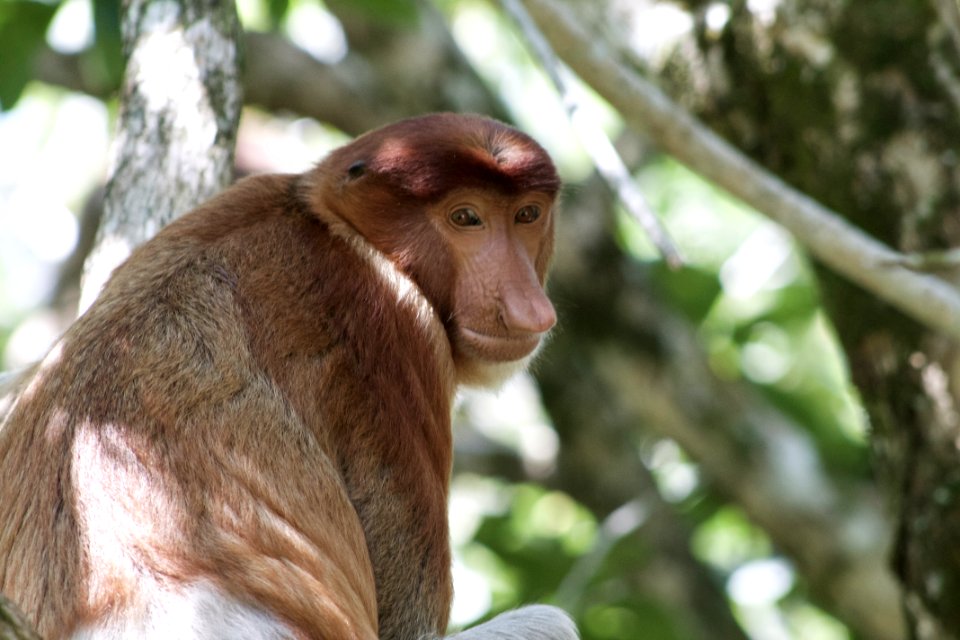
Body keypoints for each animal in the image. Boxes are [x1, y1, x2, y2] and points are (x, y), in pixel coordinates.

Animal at [0, 115, 576, 640]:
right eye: (466, 217)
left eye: (526, 215)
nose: (529, 306)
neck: (334, 225)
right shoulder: (396, 330)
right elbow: (409, 628)